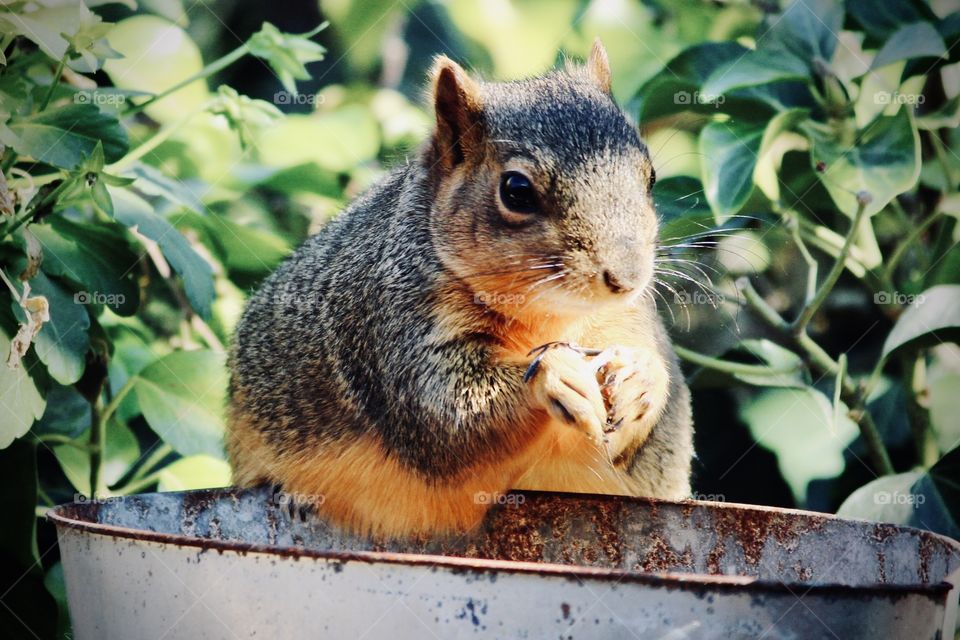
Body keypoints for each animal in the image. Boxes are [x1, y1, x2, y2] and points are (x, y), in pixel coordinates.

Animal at [227, 40, 688, 536]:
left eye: (650, 177)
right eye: (516, 190)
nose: (627, 277)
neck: (553, 315)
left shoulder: (628, 319)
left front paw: (641, 378)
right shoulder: (395, 319)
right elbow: (448, 419)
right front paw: (555, 374)